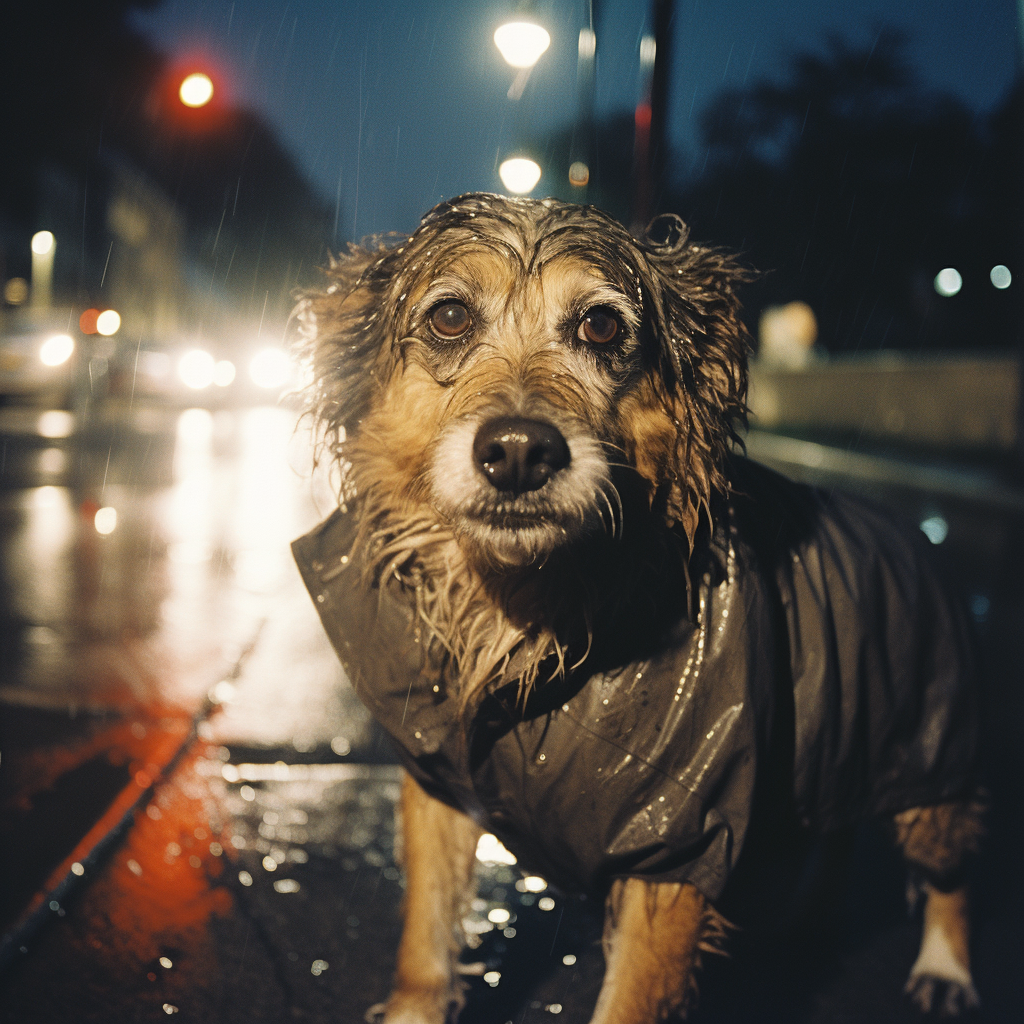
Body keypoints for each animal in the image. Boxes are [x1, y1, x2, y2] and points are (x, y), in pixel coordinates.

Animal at [294, 193, 983, 1024]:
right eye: (451, 317)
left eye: (600, 326)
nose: (519, 451)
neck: (529, 618)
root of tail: (908, 531)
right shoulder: (442, 786)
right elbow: (425, 944)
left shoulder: (681, 844)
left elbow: (629, 999)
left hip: (929, 768)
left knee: (951, 876)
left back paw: (947, 969)